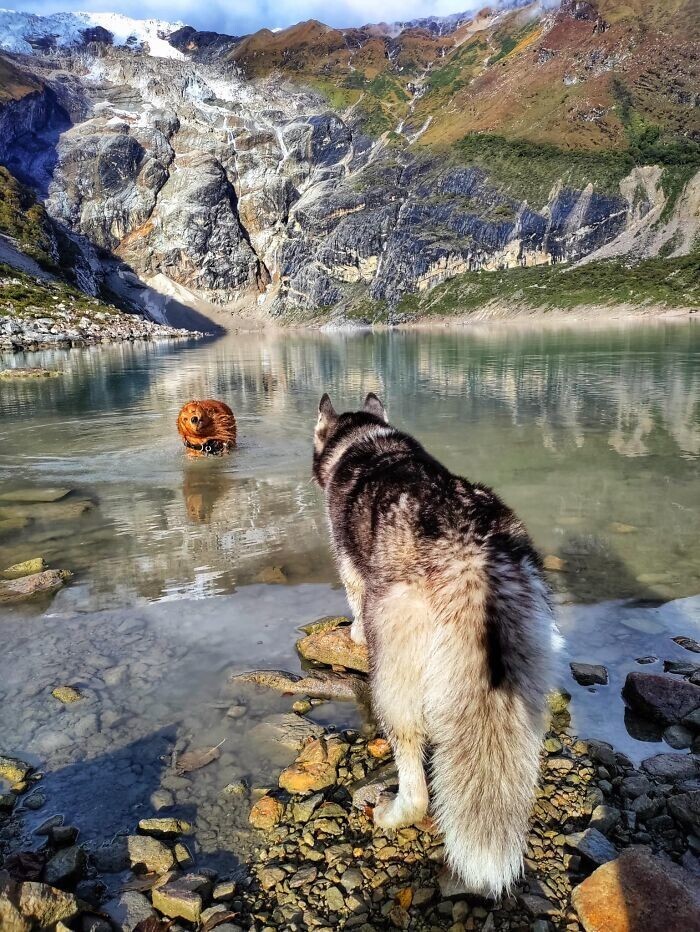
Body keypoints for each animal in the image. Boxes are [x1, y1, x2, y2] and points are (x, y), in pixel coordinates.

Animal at [314, 392, 556, 896]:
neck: (361, 438)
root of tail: (470, 553)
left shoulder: (350, 567)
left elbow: (354, 601)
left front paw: (353, 633)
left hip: (396, 673)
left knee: (413, 766)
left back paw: (395, 812)